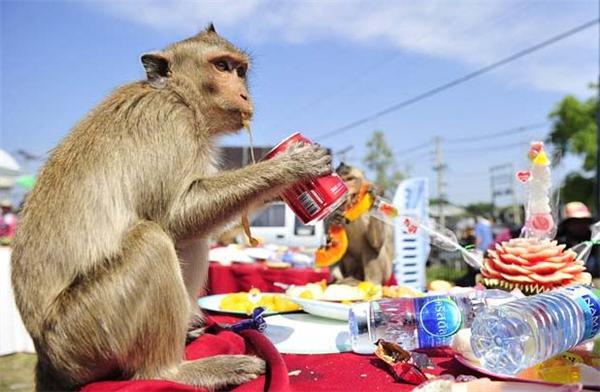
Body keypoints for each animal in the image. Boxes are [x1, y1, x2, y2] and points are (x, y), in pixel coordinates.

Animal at [11, 25, 332, 392]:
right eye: (221, 66)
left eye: (240, 71)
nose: (244, 95)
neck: (179, 95)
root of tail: (47, 360)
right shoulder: (170, 121)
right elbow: (175, 216)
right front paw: (291, 166)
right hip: (83, 335)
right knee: (152, 241)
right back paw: (173, 371)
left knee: (191, 240)